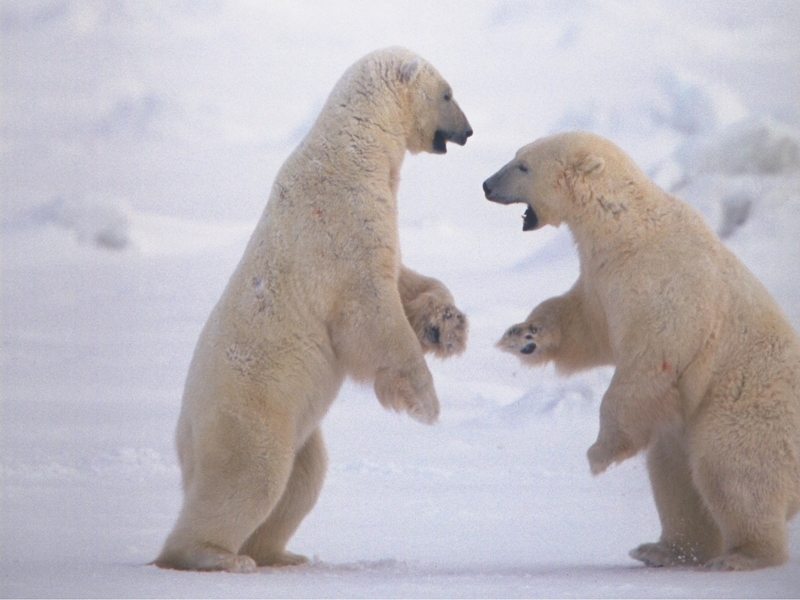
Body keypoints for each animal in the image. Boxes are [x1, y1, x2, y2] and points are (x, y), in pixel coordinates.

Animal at [154, 47, 471, 573]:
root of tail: (183, 435)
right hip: (251, 410)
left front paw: (448, 325)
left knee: (302, 478)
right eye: (447, 93)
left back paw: (282, 554)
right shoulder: (343, 226)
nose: (467, 131)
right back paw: (215, 556)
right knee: (251, 477)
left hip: (296, 426)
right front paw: (427, 404)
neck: (353, 152)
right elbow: (372, 314)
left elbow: (402, 276)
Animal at [485, 131, 800, 571]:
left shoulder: (664, 287)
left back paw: (741, 556)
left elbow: (647, 363)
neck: (628, 230)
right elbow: (586, 327)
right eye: (516, 157)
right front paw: (523, 336)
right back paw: (663, 550)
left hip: (743, 410)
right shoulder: (602, 280)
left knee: (732, 470)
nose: (486, 185)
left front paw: (599, 454)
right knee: (674, 475)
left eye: (523, 166)